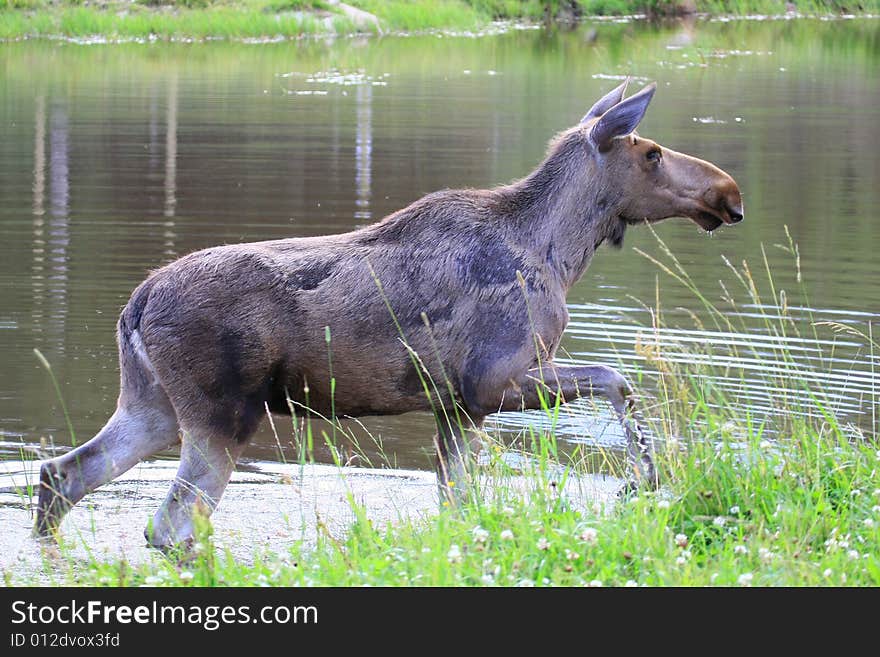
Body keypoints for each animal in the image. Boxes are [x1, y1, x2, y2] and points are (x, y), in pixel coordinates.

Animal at [36, 79, 744, 544]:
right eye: (651, 153)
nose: (729, 192)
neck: (562, 254)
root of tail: (136, 304)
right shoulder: (492, 381)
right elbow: (618, 380)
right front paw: (641, 481)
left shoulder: (457, 407)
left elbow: (458, 506)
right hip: (222, 414)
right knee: (169, 525)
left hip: (153, 406)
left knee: (63, 473)